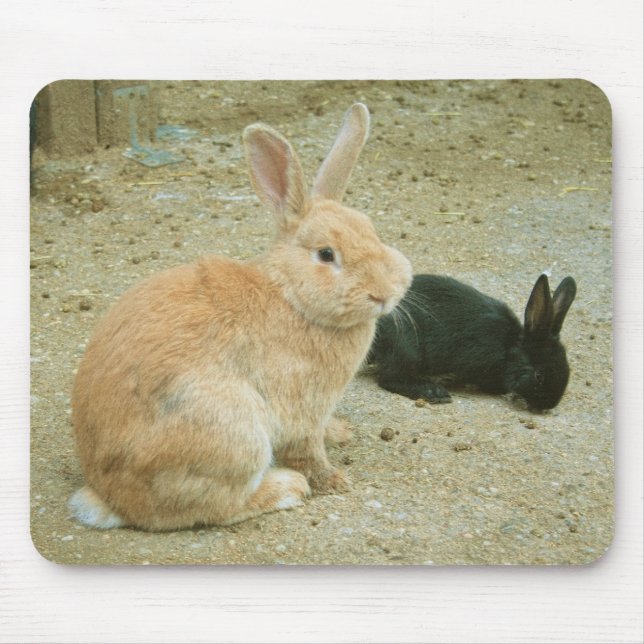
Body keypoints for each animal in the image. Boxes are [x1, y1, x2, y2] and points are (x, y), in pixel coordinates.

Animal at [69, 103, 412, 531]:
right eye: (326, 254)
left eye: (371, 230)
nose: (383, 292)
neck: (290, 295)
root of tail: (111, 498)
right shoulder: (301, 407)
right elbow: (308, 450)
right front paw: (334, 480)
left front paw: (340, 432)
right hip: (235, 432)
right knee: (214, 507)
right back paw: (287, 488)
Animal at [368, 273, 577, 410]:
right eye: (539, 375)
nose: (549, 405)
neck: (508, 347)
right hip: (406, 349)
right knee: (390, 378)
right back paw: (434, 392)